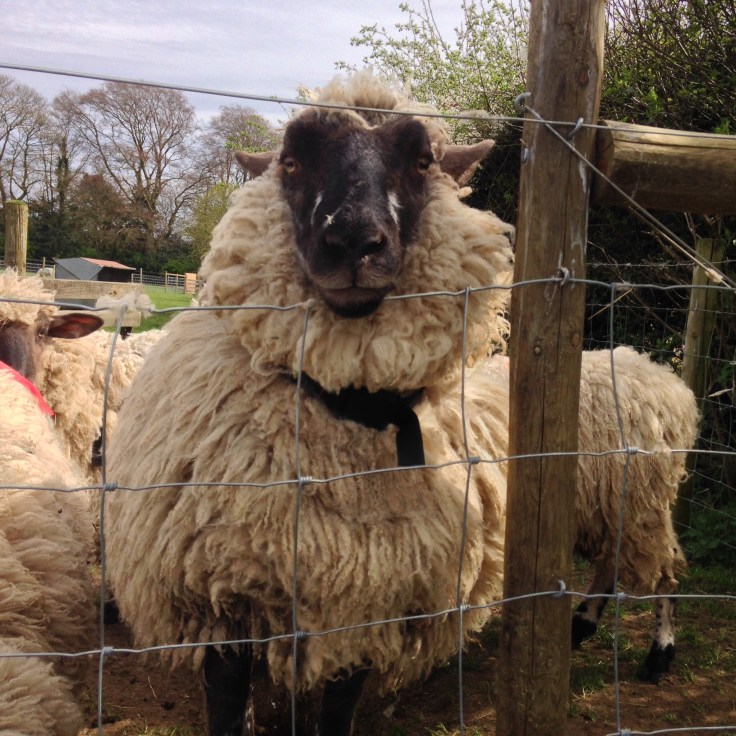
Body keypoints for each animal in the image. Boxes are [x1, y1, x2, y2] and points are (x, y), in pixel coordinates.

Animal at [103, 71, 514, 736]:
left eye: (423, 161)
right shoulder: (223, 599)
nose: (351, 242)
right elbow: (225, 702)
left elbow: (339, 709)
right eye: (291, 161)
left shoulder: (369, 606)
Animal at [478, 346, 699, 683]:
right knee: (613, 560)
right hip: (605, 509)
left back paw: (658, 655)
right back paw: (583, 622)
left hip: (636, 499)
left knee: (664, 568)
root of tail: (670, 382)